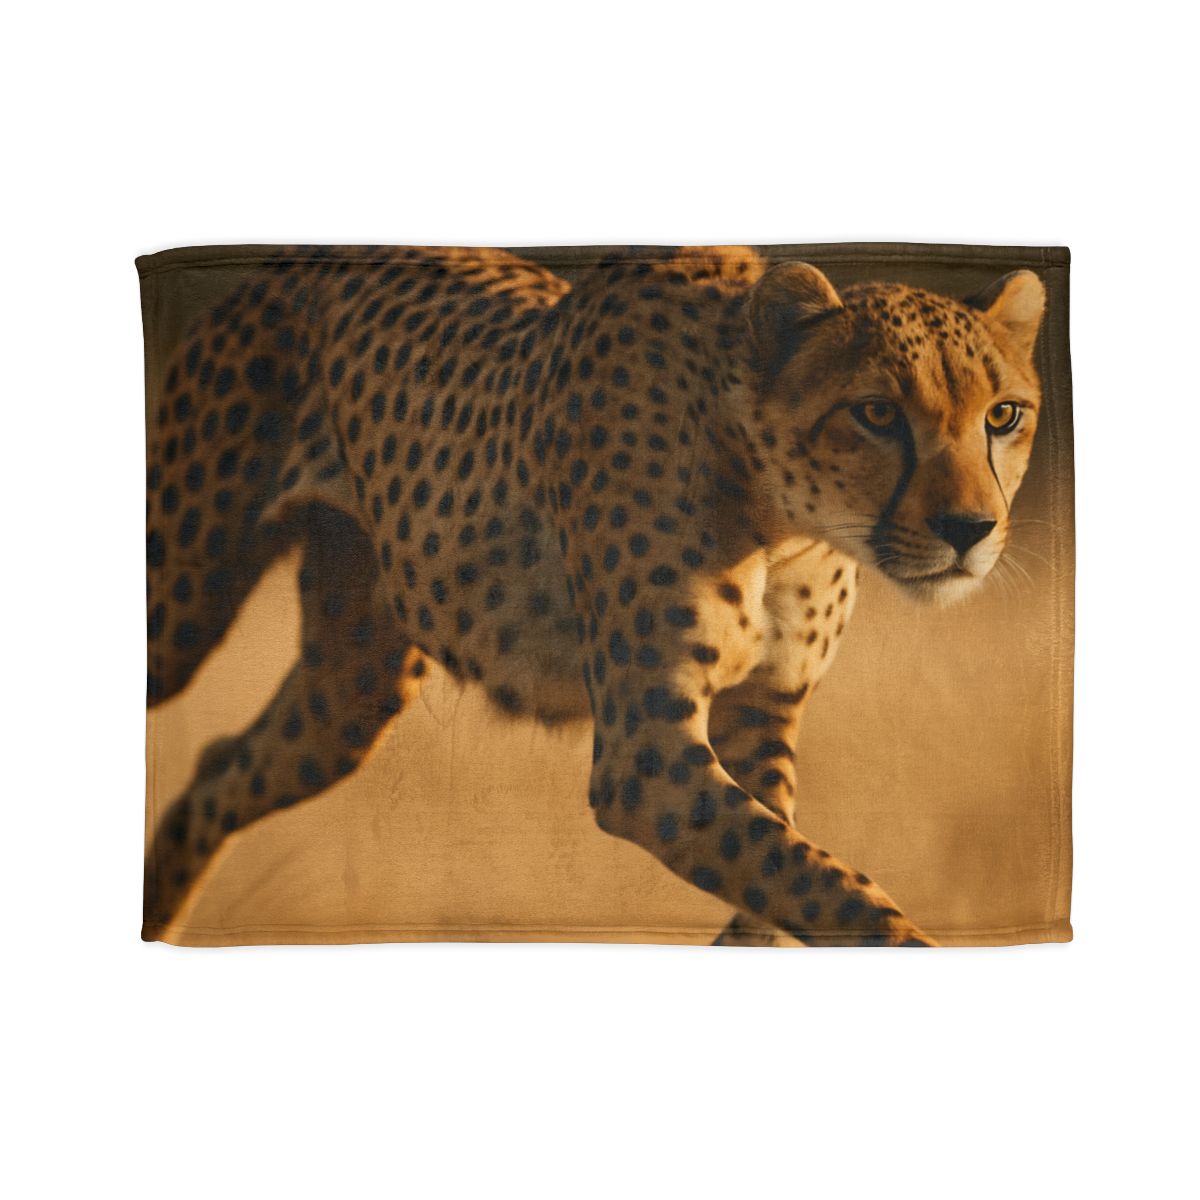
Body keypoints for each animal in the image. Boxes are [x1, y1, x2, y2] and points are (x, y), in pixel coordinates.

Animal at [141, 244, 1045, 946]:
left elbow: (783, 863)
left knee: (221, 766)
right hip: (178, 604)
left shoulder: (761, 712)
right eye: (877, 414)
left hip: (350, 692)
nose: (971, 528)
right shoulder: (646, 756)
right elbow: (818, 879)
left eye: (1003, 415)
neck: (782, 519)